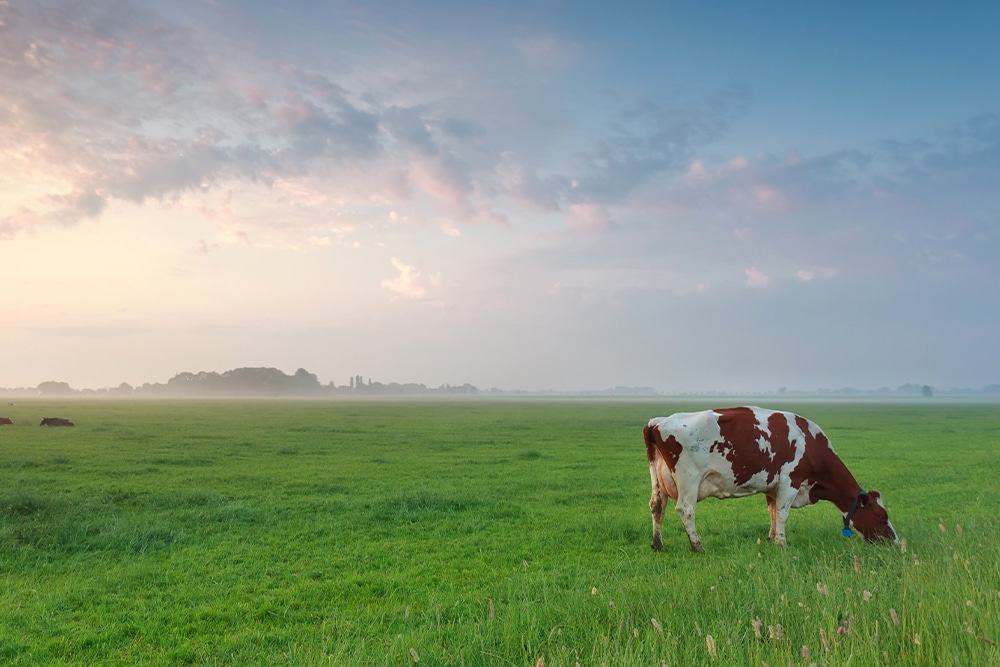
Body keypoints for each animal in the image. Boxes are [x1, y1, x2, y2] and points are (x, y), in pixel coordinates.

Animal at [645, 406, 896, 552]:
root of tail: (658, 421)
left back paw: (658, 545)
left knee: (658, 507)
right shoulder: (790, 481)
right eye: (882, 517)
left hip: (659, 481)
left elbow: (773, 511)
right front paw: (782, 543)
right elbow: (783, 514)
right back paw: (697, 546)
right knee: (685, 509)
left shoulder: (772, 486)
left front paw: (771, 538)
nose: (895, 541)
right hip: (689, 479)